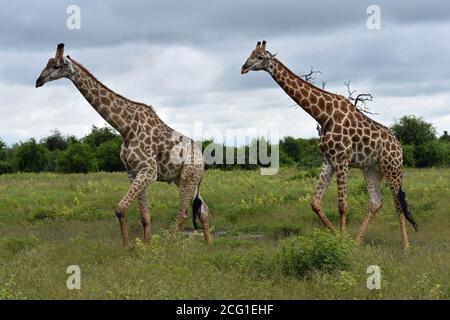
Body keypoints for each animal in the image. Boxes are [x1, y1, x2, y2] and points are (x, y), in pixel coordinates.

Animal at [35, 43, 213, 246]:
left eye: (57, 65)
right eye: (47, 62)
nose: (38, 81)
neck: (126, 128)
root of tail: (202, 159)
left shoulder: (148, 170)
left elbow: (120, 208)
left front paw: (129, 247)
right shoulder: (133, 172)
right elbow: (144, 216)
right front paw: (145, 246)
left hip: (188, 178)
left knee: (183, 213)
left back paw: (169, 245)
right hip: (184, 179)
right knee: (203, 209)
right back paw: (209, 245)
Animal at [243, 40, 418, 250]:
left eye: (260, 57)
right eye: (249, 54)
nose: (243, 68)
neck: (324, 115)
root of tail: (399, 146)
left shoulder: (341, 159)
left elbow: (342, 206)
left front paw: (342, 241)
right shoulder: (328, 160)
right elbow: (315, 203)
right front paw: (339, 237)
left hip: (392, 168)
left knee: (398, 204)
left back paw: (406, 247)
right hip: (371, 169)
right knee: (376, 202)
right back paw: (358, 242)